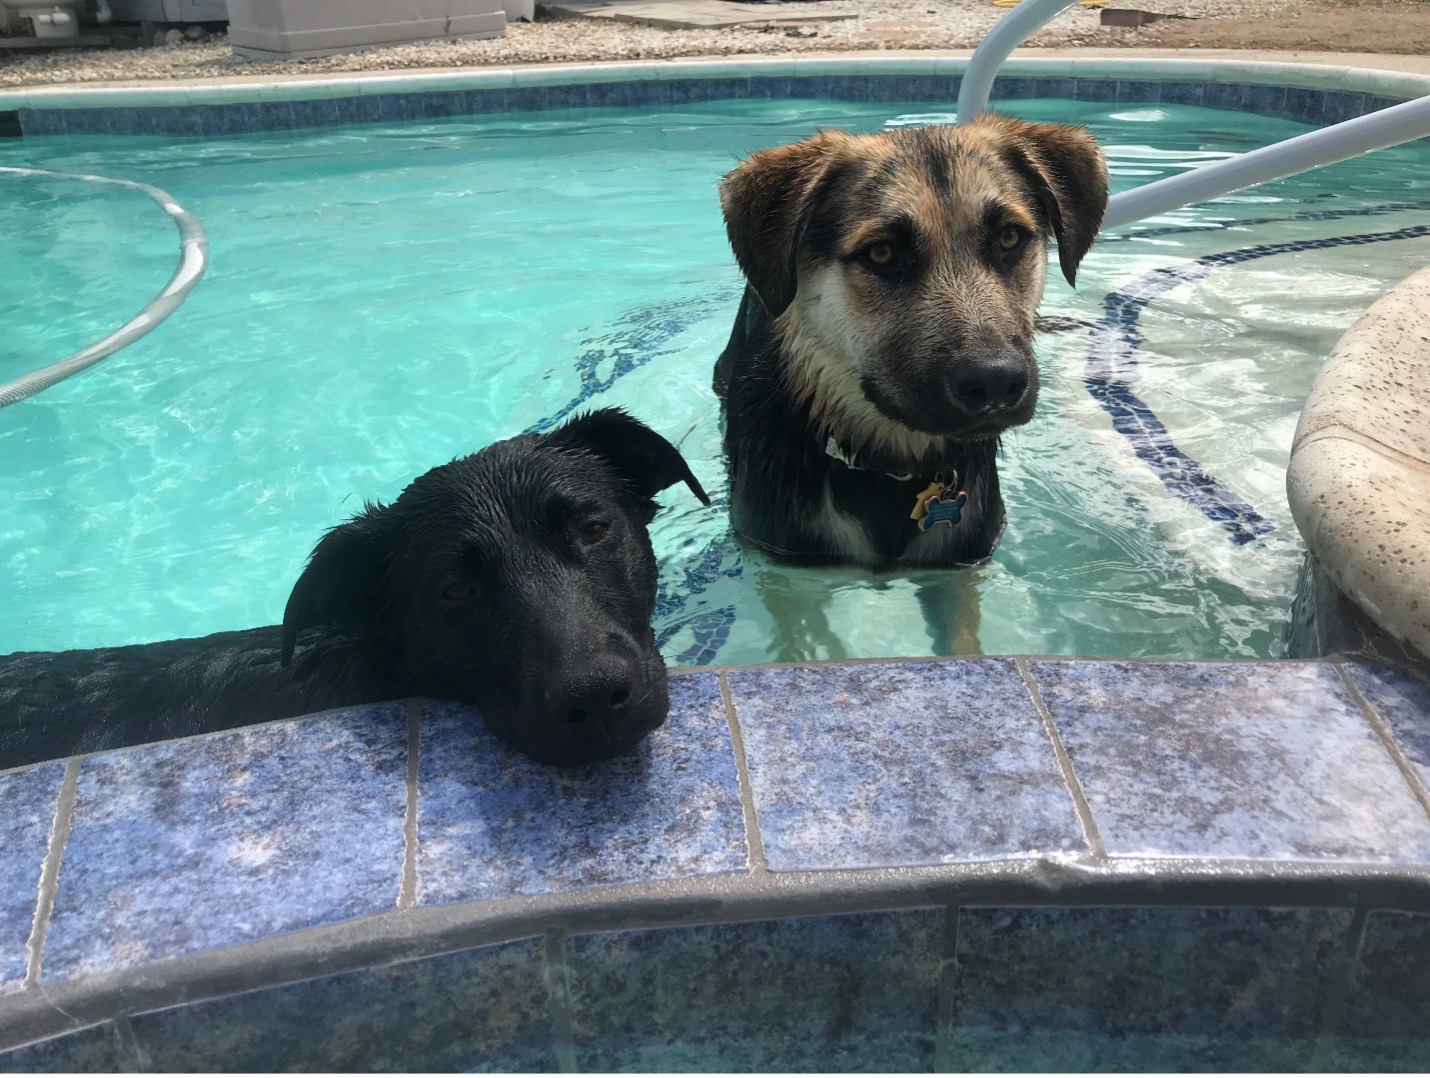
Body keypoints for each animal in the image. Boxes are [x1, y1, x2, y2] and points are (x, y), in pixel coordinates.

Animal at [712, 116, 1103, 589]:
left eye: (1010, 238)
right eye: (882, 253)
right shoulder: (785, 571)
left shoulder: (961, 569)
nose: (995, 383)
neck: (884, 468)